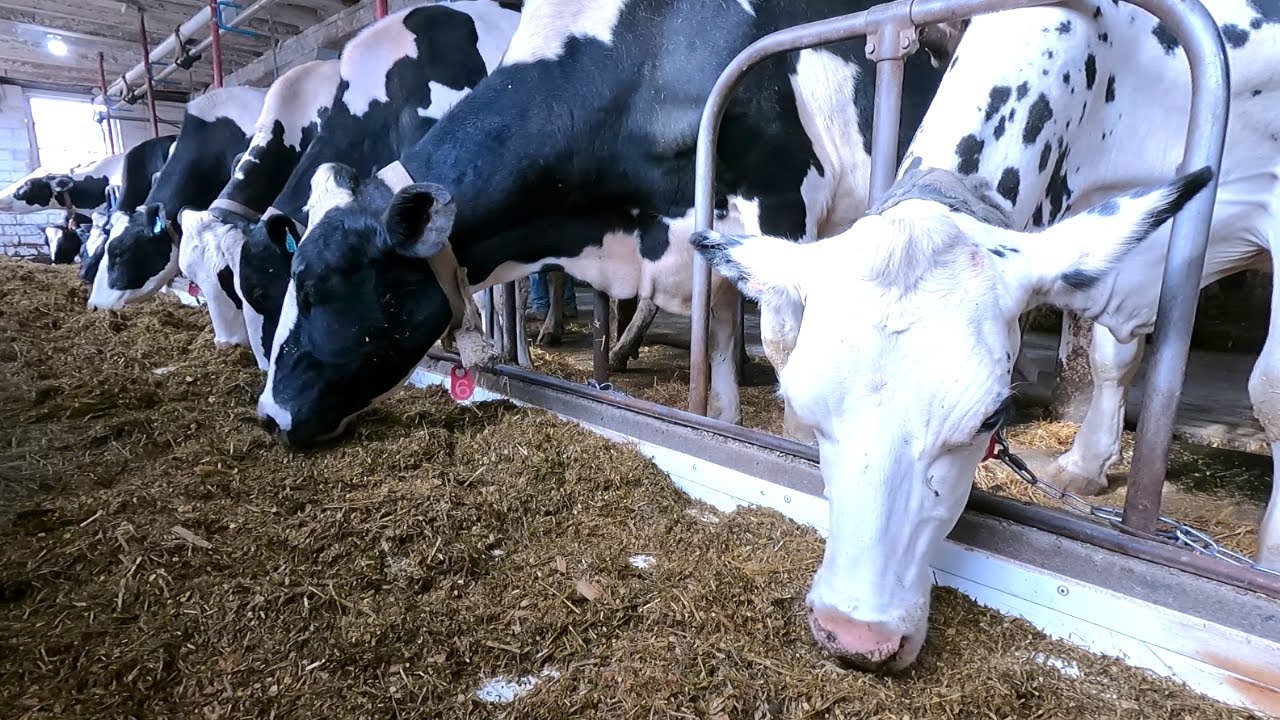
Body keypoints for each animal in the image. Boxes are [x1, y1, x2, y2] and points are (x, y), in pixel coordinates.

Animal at [692, 0, 1276, 672]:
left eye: (991, 417)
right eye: (801, 410)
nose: (856, 636)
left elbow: (1268, 390)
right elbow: (1111, 352)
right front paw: (1086, 462)